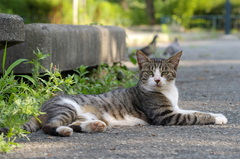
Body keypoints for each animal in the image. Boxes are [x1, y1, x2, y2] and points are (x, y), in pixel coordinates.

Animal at [0, 50, 228, 137]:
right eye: (149, 72)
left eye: (164, 72)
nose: (156, 80)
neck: (167, 91)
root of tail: (41, 107)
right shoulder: (166, 115)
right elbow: (194, 116)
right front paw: (215, 119)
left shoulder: (176, 107)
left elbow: (194, 110)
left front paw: (219, 115)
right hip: (66, 107)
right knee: (50, 125)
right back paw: (63, 130)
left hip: (81, 115)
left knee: (76, 124)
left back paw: (94, 126)